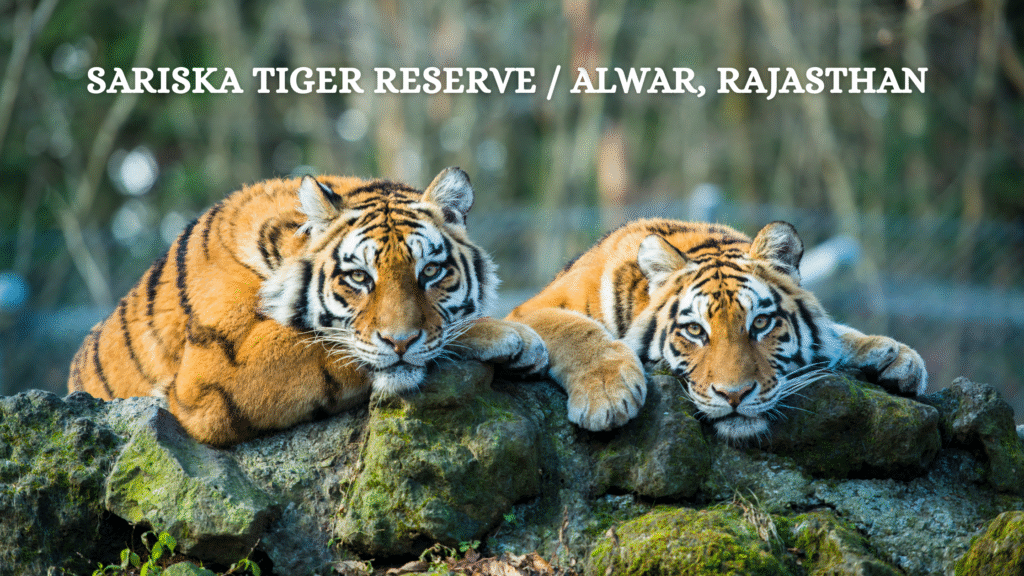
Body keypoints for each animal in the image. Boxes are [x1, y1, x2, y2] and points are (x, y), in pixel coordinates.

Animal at [68, 167, 548, 446]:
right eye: (360, 277)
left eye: (430, 271)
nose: (400, 342)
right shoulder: (213, 374)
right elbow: (327, 345)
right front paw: (510, 335)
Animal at [507, 218, 927, 441]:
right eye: (695, 331)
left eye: (760, 323)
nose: (734, 395)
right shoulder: (527, 311)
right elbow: (575, 328)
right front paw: (607, 395)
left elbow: (836, 333)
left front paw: (896, 356)